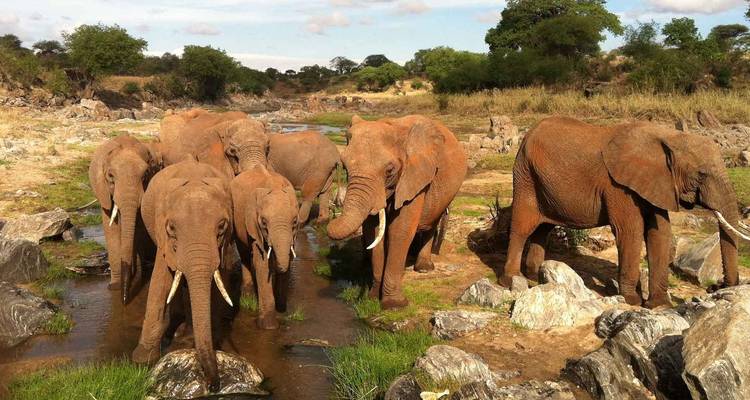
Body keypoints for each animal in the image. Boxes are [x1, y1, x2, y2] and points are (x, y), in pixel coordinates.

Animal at [88, 134, 161, 304]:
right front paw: (115, 286)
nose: (124, 300)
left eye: (145, 175)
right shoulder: (103, 191)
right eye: (110, 176)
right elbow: (111, 228)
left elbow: (139, 228)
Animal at [132, 157, 235, 391]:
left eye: (221, 226)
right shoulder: (163, 238)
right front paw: (142, 360)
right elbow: (161, 281)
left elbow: (218, 283)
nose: (213, 386)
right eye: (171, 228)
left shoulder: (224, 244)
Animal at [230, 165, 299, 329]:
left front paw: (282, 310)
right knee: (244, 254)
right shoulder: (254, 226)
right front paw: (269, 327)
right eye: (263, 222)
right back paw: (248, 296)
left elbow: (287, 257)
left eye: (294, 221)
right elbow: (262, 264)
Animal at [327, 115, 467, 309]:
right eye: (346, 168)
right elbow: (374, 231)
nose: (332, 211)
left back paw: (423, 268)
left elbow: (400, 229)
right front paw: (372, 298)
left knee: (432, 222)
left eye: (389, 170)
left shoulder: (415, 176)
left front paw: (394, 305)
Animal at [501, 116, 749, 307]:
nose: (715, 287)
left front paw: (659, 305)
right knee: (522, 227)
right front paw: (632, 301)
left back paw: (536, 278)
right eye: (701, 174)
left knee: (543, 228)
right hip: (525, 175)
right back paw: (512, 281)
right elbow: (631, 231)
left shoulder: (656, 184)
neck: (668, 137)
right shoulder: (618, 186)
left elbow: (660, 233)